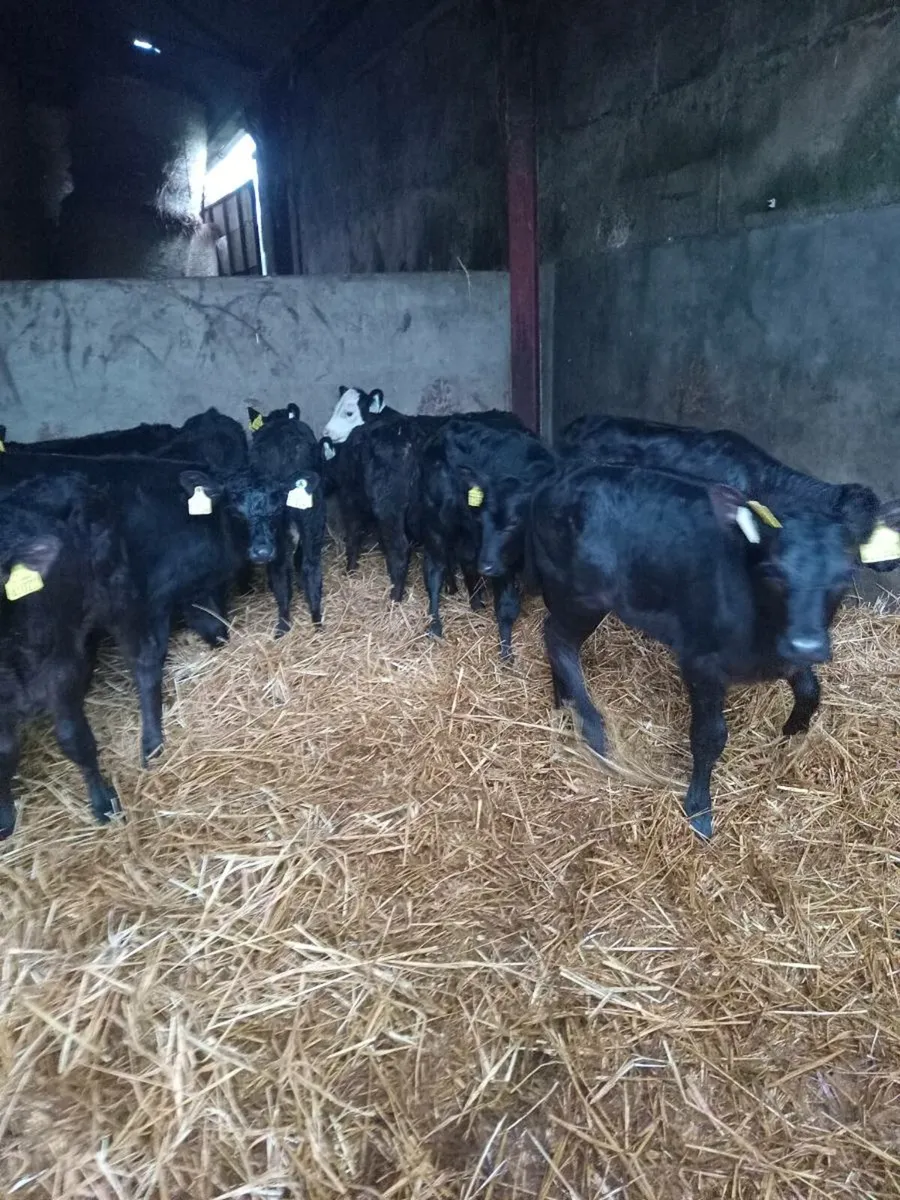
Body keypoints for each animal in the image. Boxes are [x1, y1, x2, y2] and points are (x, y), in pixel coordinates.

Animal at [420, 418, 551, 658]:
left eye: (514, 522)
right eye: (482, 519)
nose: (487, 567)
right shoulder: (501, 564)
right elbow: (507, 606)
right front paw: (506, 652)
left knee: (464, 561)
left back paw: (475, 601)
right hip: (436, 525)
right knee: (434, 571)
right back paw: (435, 625)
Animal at [526, 460, 898, 840]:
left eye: (846, 574)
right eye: (773, 571)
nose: (806, 645)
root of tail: (558, 480)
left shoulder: (784, 653)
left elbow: (811, 690)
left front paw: (793, 731)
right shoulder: (700, 661)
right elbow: (710, 736)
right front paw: (699, 808)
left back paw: (564, 705)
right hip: (581, 594)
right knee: (557, 639)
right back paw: (592, 728)